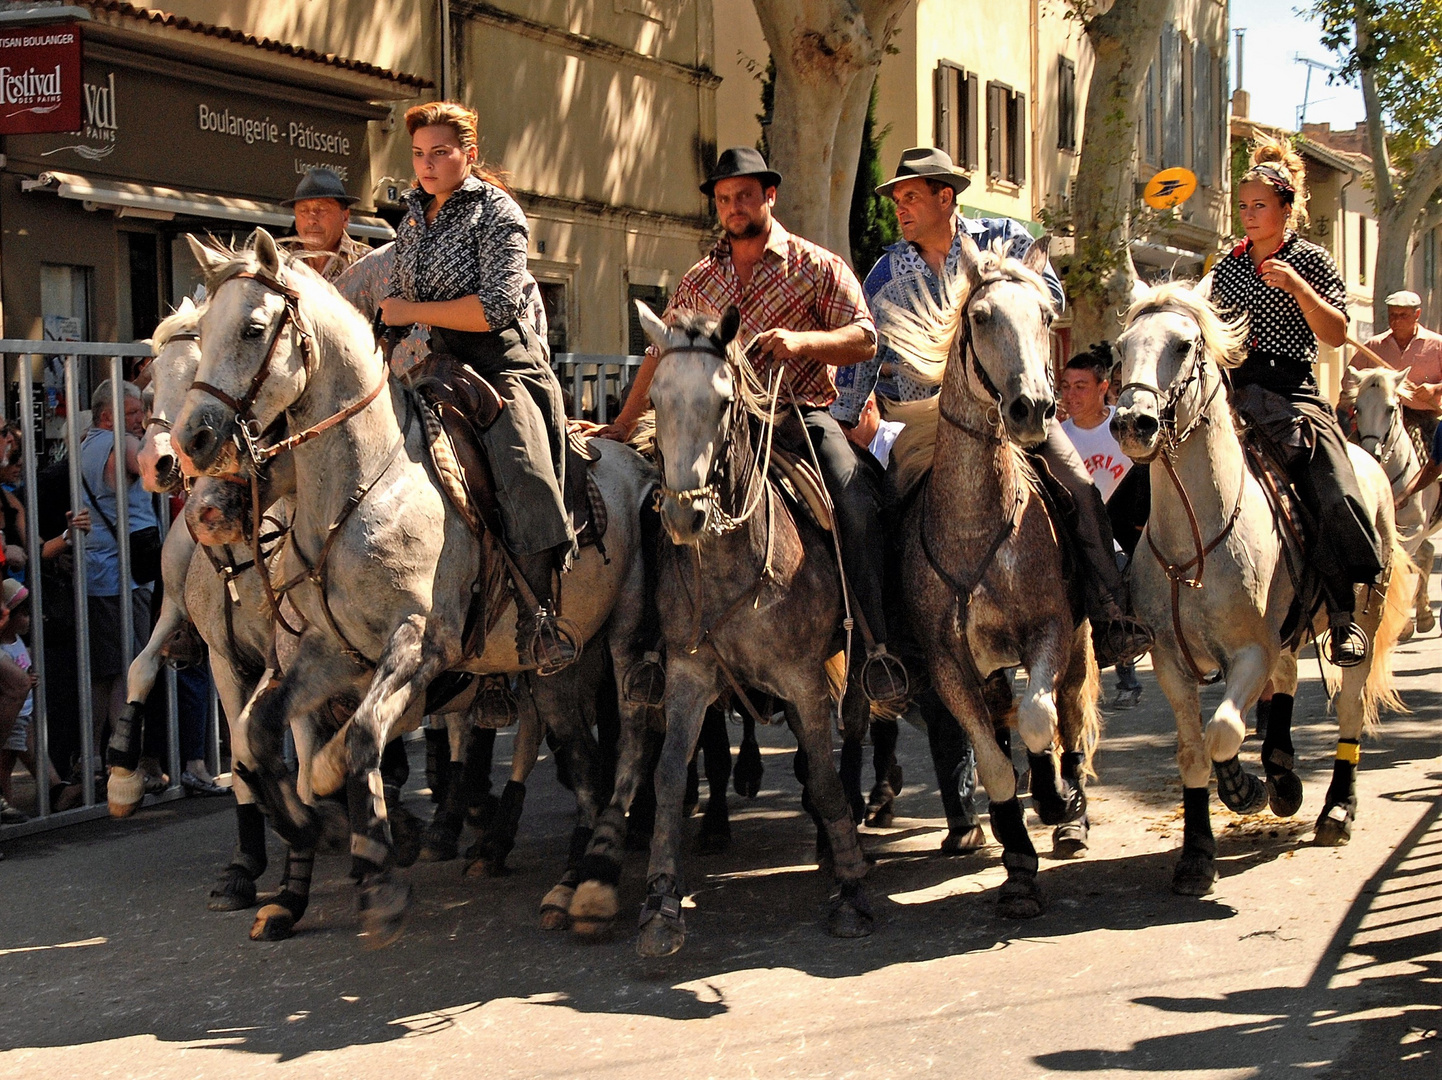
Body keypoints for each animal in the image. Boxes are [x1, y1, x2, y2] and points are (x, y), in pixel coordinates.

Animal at [1113, 282, 1407, 899]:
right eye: (1122, 348)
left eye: (1183, 344)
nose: (1133, 423)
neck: (1196, 539)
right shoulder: (1171, 660)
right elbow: (1193, 752)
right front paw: (1197, 852)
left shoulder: (1249, 651)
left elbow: (1224, 730)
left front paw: (1242, 788)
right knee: (1287, 682)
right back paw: (1283, 774)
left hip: (1362, 621)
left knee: (1347, 705)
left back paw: (1335, 808)